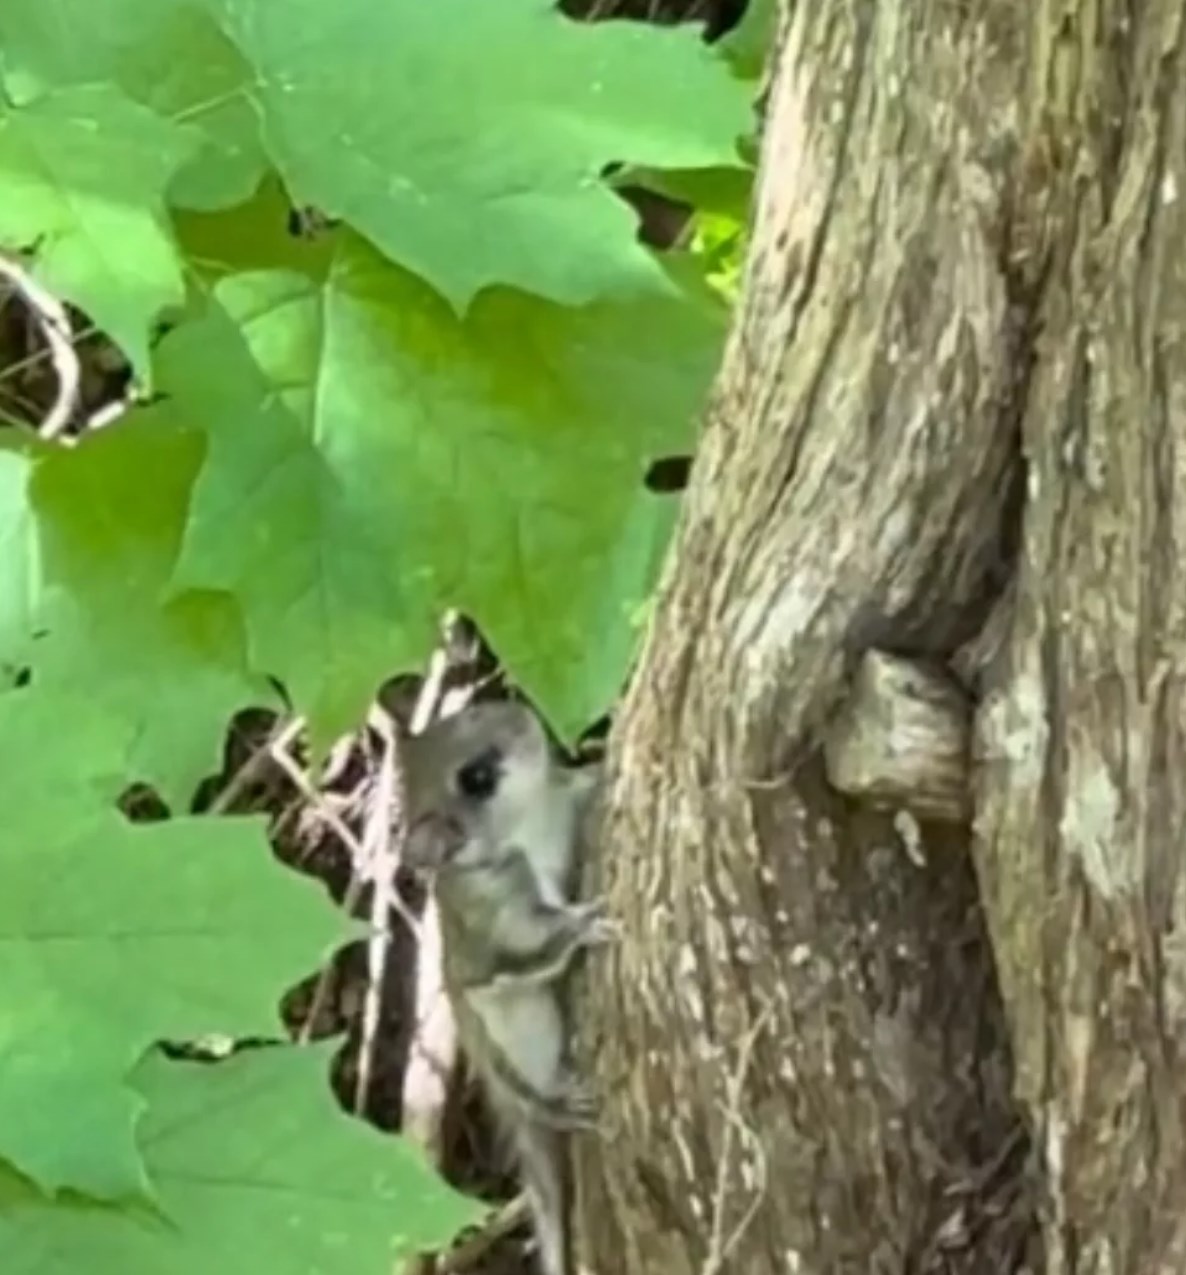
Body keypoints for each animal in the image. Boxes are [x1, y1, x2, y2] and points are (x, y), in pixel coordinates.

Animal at [399, 699, 610, 1275]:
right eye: (476, 779)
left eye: (472, 713)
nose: (523, 714)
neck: (532, 823)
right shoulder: (497, 922)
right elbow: (527, 953)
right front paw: (581, 927)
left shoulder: (570, 798)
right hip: (518, 1035)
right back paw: (553, 1099)